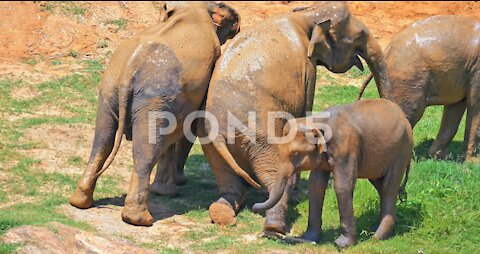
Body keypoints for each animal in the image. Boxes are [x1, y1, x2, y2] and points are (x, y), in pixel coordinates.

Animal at [68, 0, 239, 226]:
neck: (190, 9)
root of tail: (130, 67)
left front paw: (168, 190)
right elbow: (192, 127)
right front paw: (174, 187)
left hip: (110, 89)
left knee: (102, 141)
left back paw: (80, 202)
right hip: (154, 97)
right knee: (145, 150)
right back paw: (140, 220)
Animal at [199, 1, 390, 234]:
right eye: (358, 37)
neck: (306, 15)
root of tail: (218, 132)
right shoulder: (307, 67)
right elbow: (303, 111)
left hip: (211, 146)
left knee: (228, 184)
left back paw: (224, 214)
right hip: (259, 138)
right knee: (276, 176)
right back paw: (275, 227)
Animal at [253, 99, 414, 248]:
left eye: (295, 154)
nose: (254, 206)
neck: (318, 121)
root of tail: (402, 115)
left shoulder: (346, 148)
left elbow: (342, 186)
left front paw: (342, 244)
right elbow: (315, 185)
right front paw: (309, 238)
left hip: (402, 149)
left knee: (388, 187)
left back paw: (378, 237)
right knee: (379, 184)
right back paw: (375, 228)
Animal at [358, 14, 480, 162]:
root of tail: (388, 49)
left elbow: (455, 107)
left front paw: (442, 157)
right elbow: (474, 104)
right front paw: (474, 163)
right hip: (409, 77)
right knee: (410, 112)